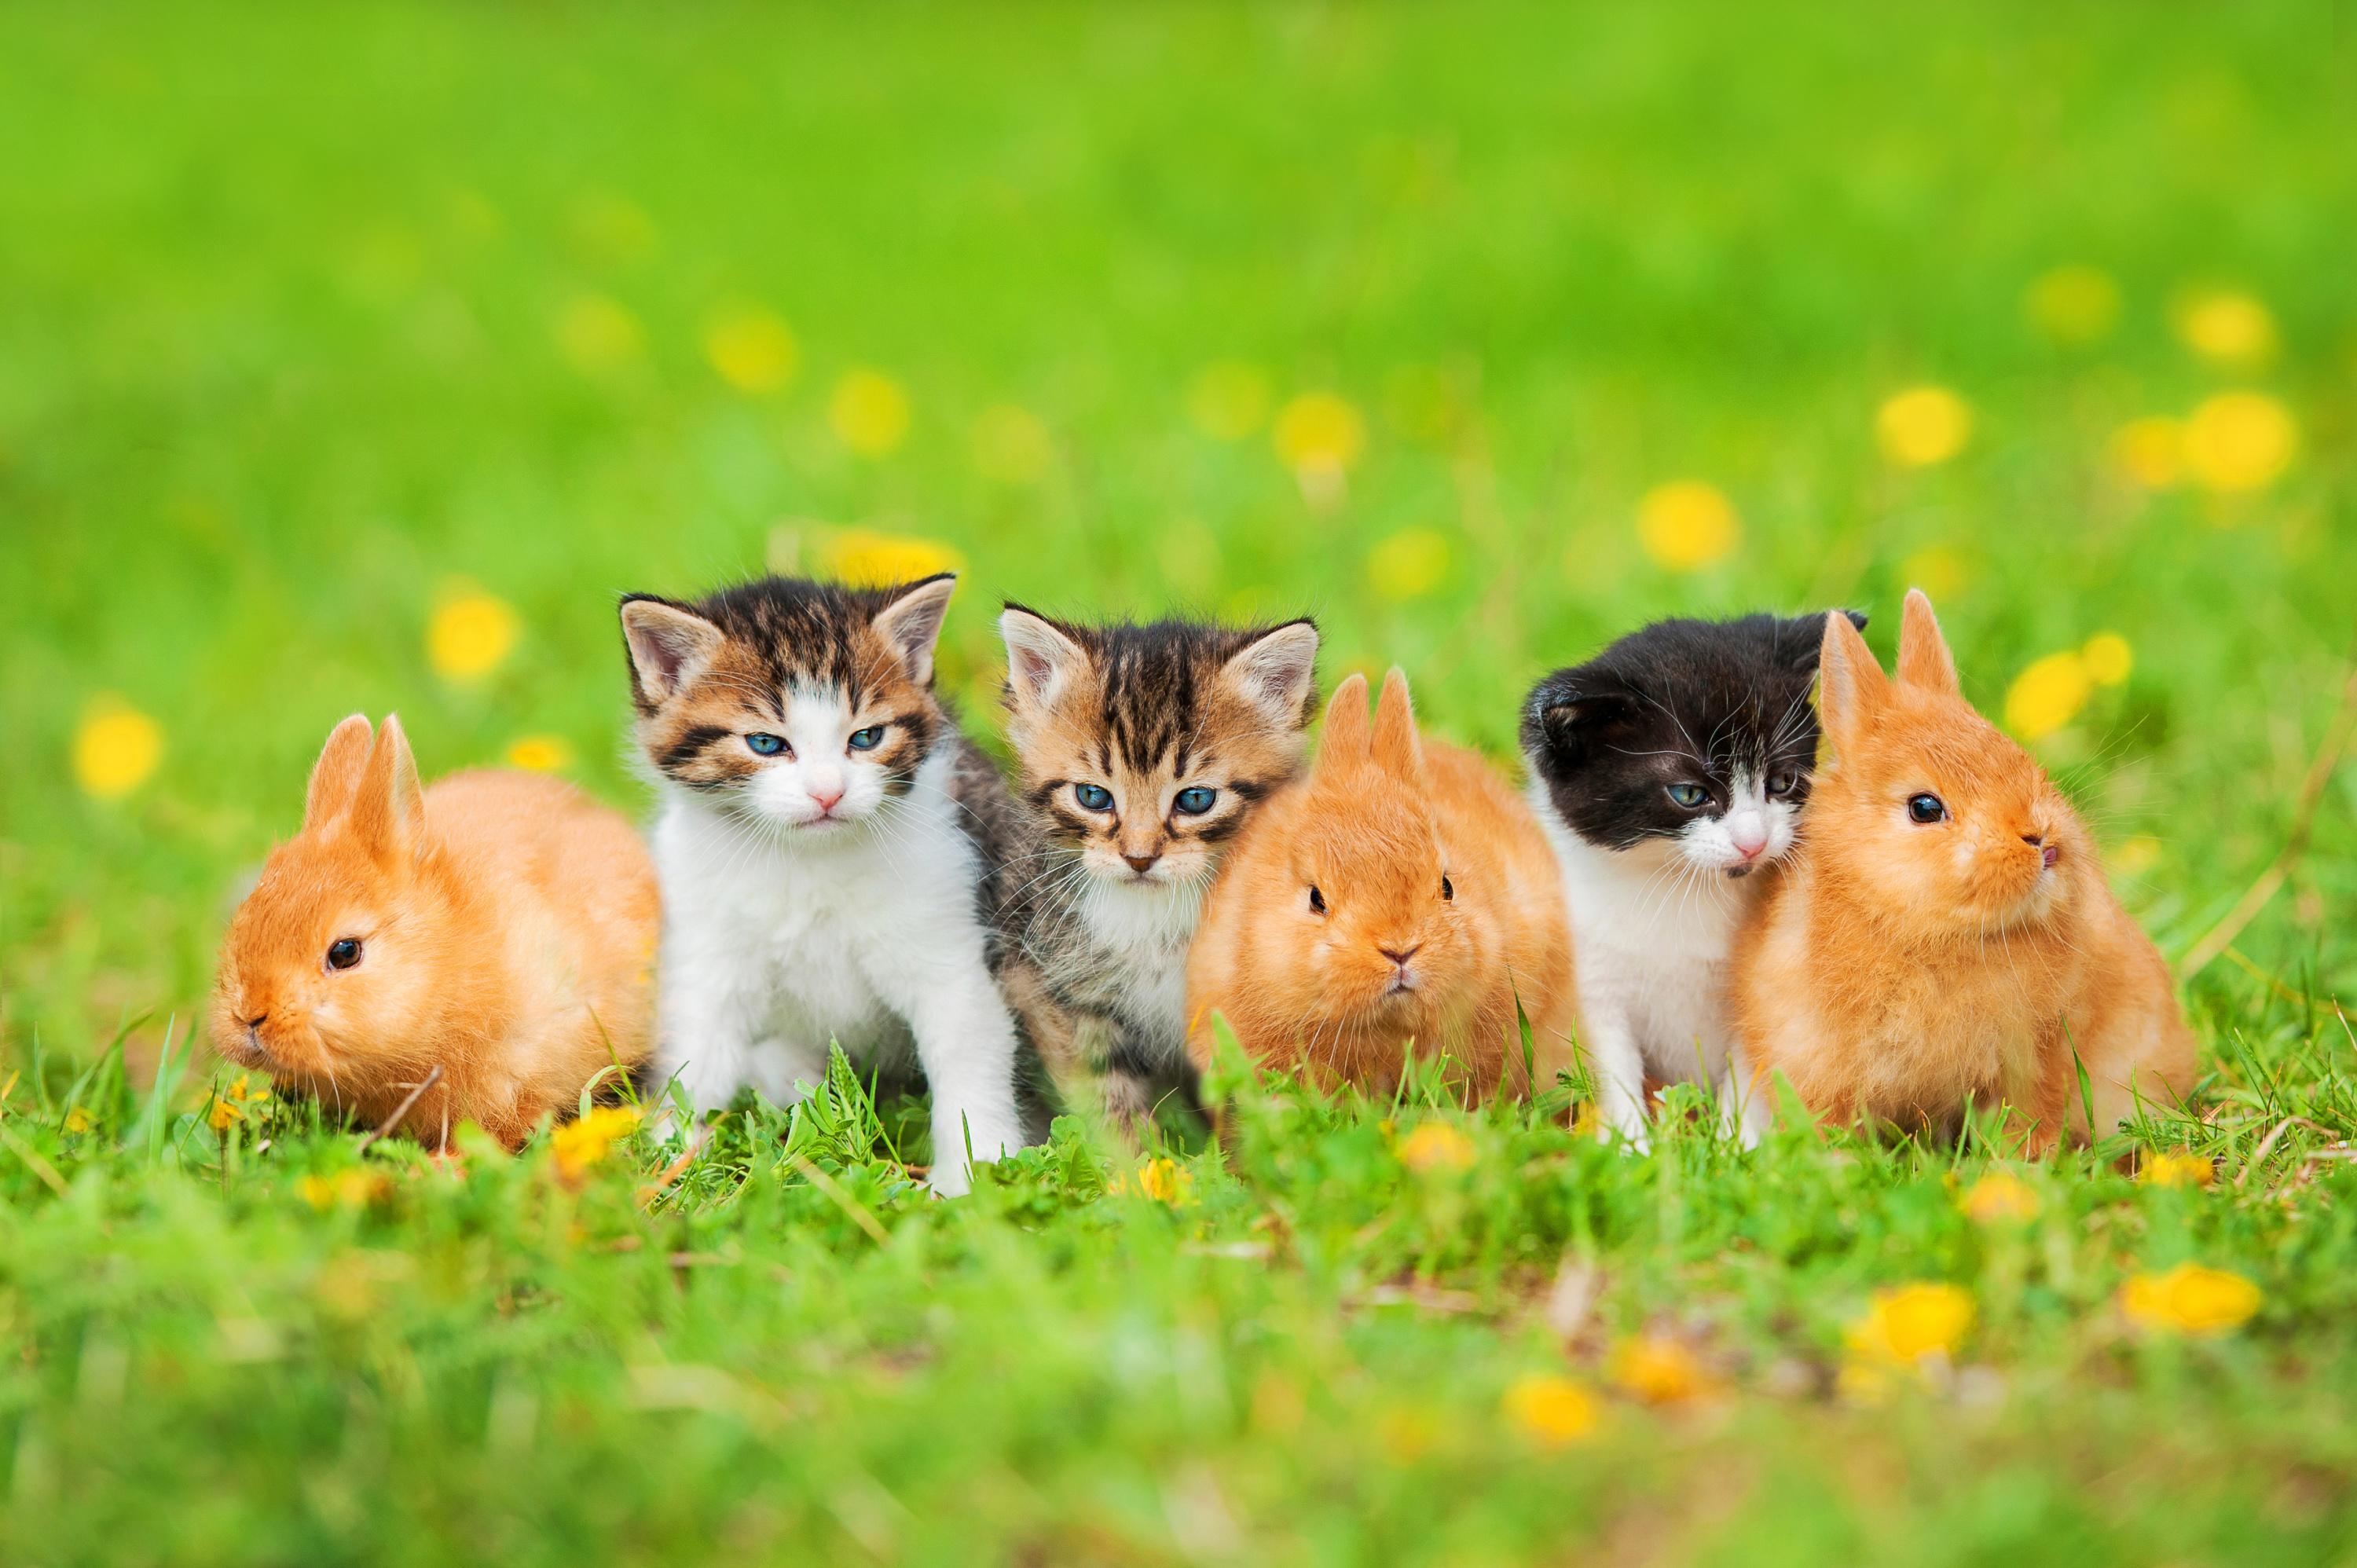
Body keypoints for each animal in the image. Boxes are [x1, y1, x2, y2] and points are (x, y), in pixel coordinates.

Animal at [1725, 591, 2197, 1151]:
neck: (1930, 934)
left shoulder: (2036, 1060)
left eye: (2019, 758)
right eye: (1924, 808)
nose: (2043, 841)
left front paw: (2021, 1160)